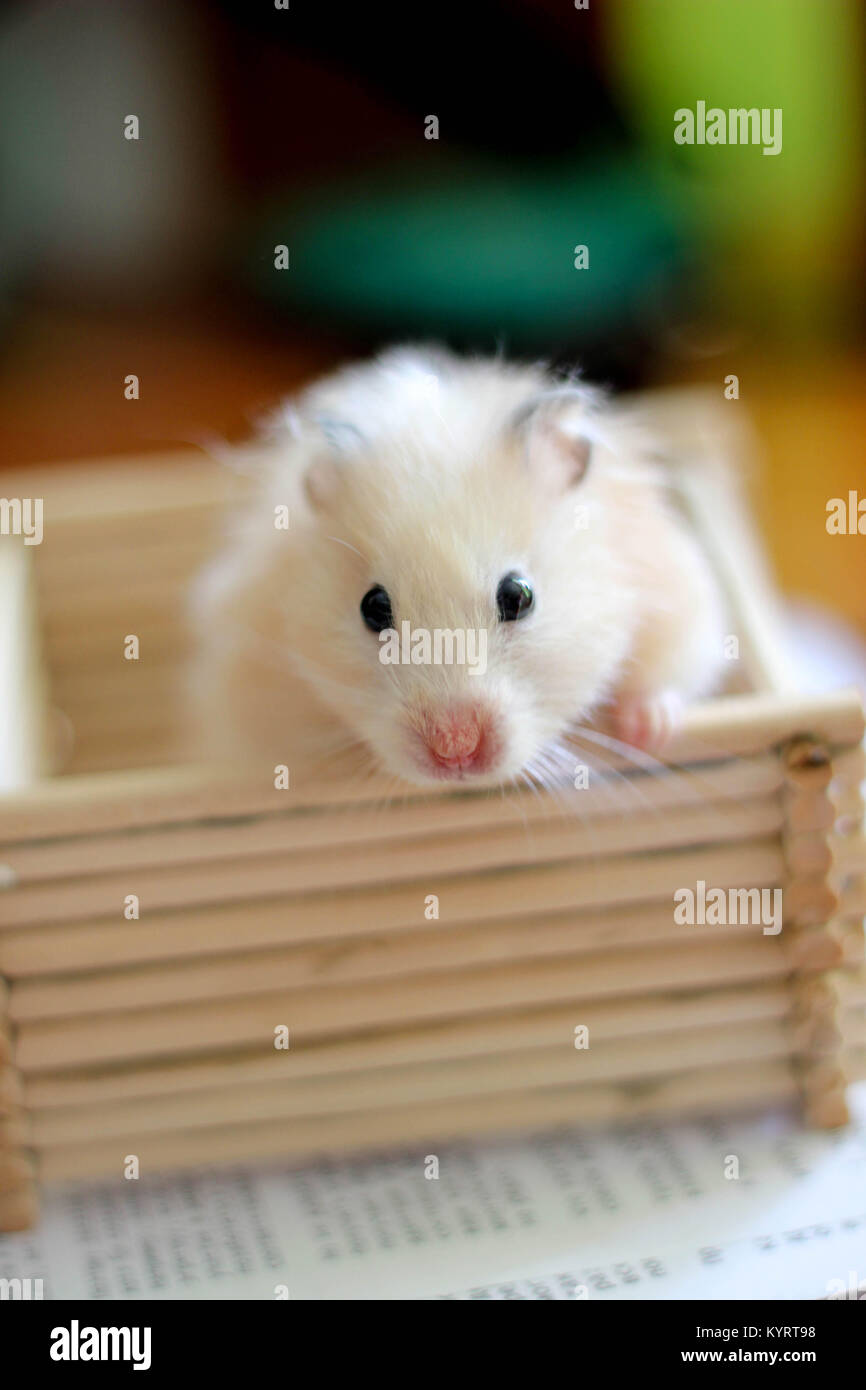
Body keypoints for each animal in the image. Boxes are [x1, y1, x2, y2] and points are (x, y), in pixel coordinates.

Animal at [188, 347, 725, 790]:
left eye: (519, 596)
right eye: (372, 607)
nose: (455, 750)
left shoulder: (679, 596)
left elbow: (673, 669)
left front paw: (645, 731)